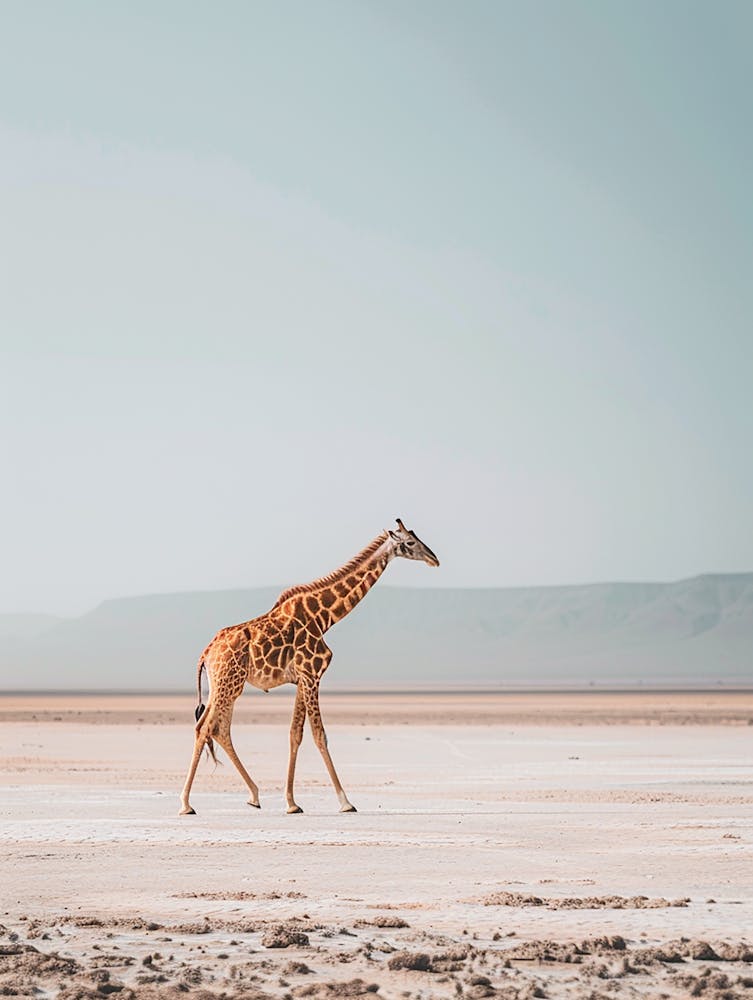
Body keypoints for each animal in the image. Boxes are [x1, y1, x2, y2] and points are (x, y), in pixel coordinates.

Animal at [179, 518, 439, 816]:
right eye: (409, 542)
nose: (434, 559)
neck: (325, 618)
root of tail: (206, 653)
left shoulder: (303, 678)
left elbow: (295, 733)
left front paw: (292, 803)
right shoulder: (312, 674)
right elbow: (319, 734)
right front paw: (345, 801)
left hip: (225, 685)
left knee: (218, 729)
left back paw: (254, 795)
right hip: (228, 684)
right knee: (205, 728)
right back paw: (186, 804)